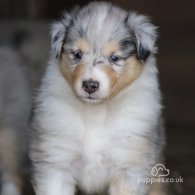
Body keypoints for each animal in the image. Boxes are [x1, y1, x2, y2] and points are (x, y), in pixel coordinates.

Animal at [31, 1, 165, 195]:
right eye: (77, 54)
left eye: (115, 58)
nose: (89, 85)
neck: (97, 112)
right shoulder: (56, 162)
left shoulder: (129, 165)